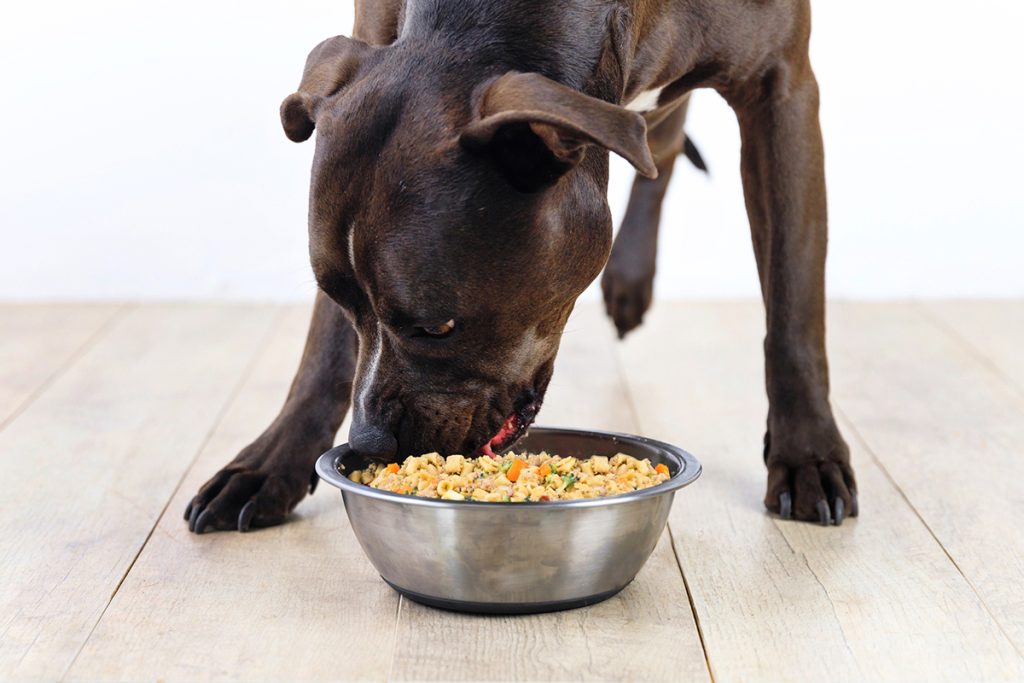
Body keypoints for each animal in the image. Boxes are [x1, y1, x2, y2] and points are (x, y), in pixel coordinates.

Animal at [182, 0, 856, 532]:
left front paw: (808, 454)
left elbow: (794, 301)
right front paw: (270, 464)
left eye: (438, 326)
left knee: (658, 144)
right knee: (656, 141)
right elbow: (323, 352)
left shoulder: (782, 88)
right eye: (344, 302)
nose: (369, 443)